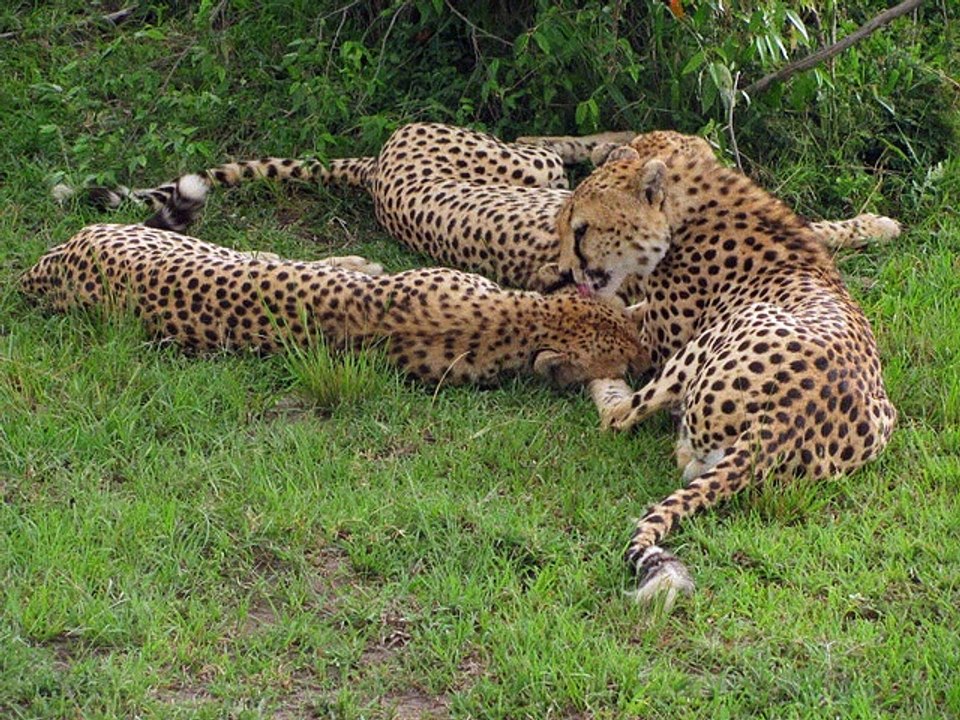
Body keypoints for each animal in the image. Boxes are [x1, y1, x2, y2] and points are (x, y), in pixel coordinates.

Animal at [20, 222, 647, 388]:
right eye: (623, 362)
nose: (646, 361)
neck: (516, 320)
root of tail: (46, 264)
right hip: (198, 245)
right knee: (272, 254)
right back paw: (357, 262)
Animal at [550, 129, 897, 608]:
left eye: (582, 229)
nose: (565, 271)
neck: (684, 210)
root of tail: (781, 423)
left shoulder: (655, 342)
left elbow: (611, 320)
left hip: (725, 330)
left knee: (620, 419)